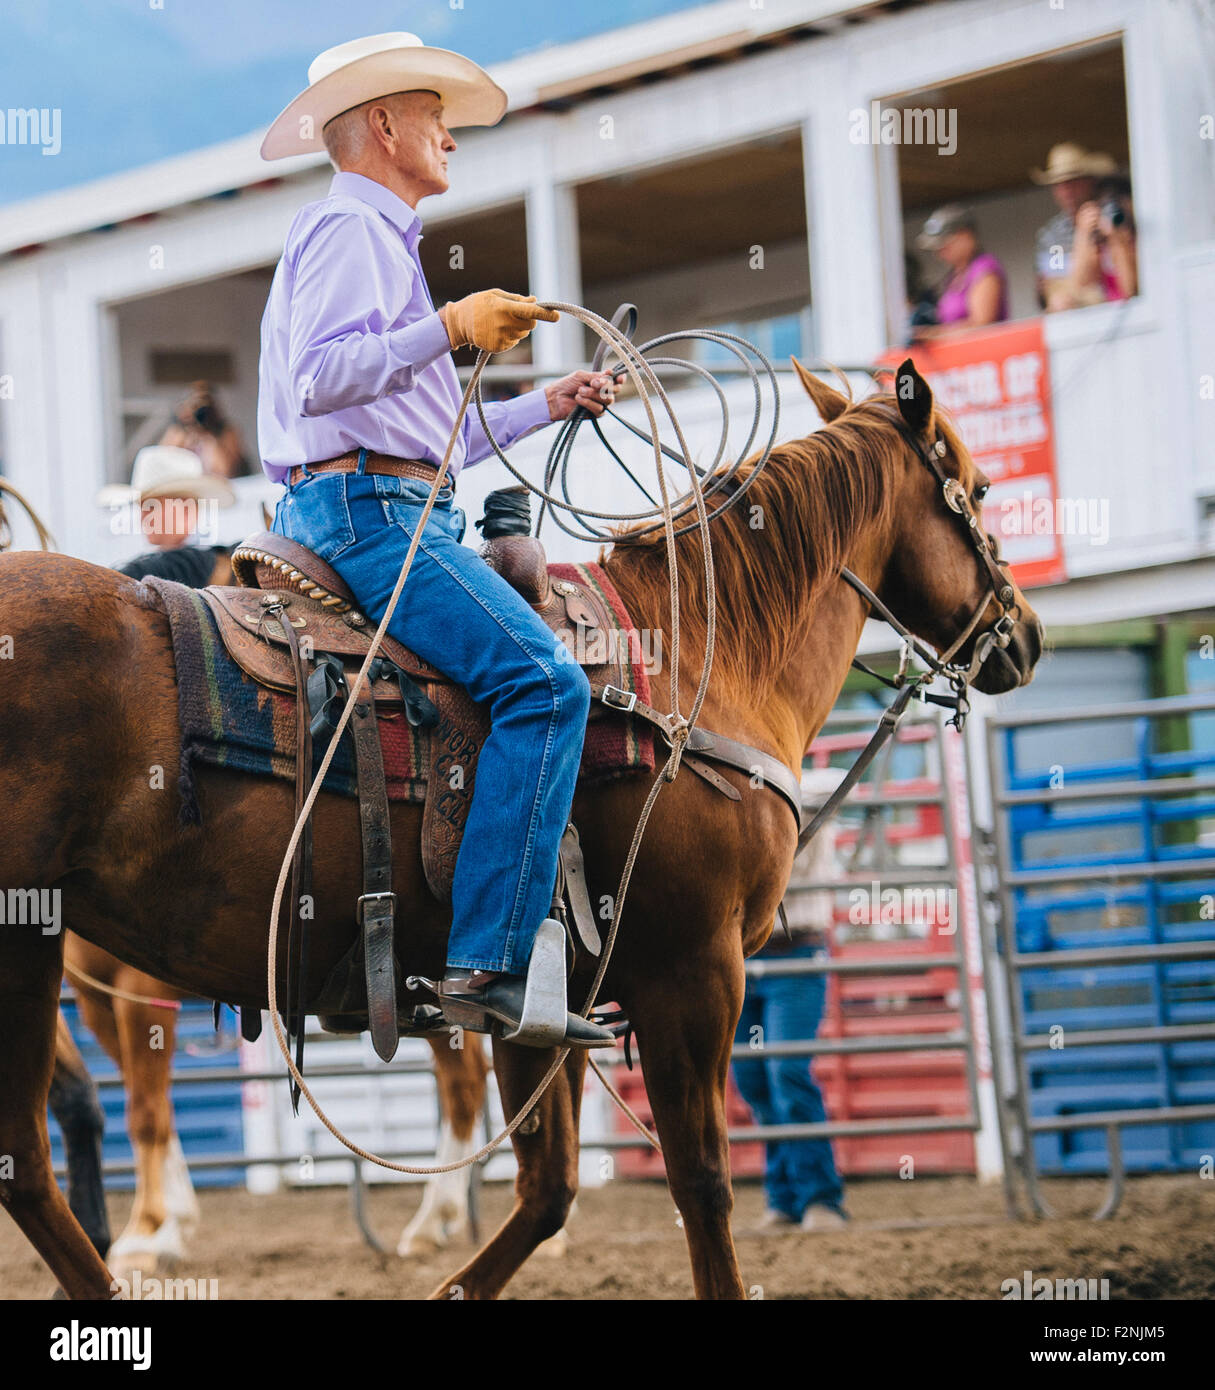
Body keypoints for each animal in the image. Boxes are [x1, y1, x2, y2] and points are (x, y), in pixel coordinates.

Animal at [2, 364, 1039, 1295]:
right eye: (981, 490)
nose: (1024, 635)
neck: (698, 655)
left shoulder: (544, 993)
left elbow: (548, 1187)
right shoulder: (693, 972)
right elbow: (701, 1185)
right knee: (30, 1153)